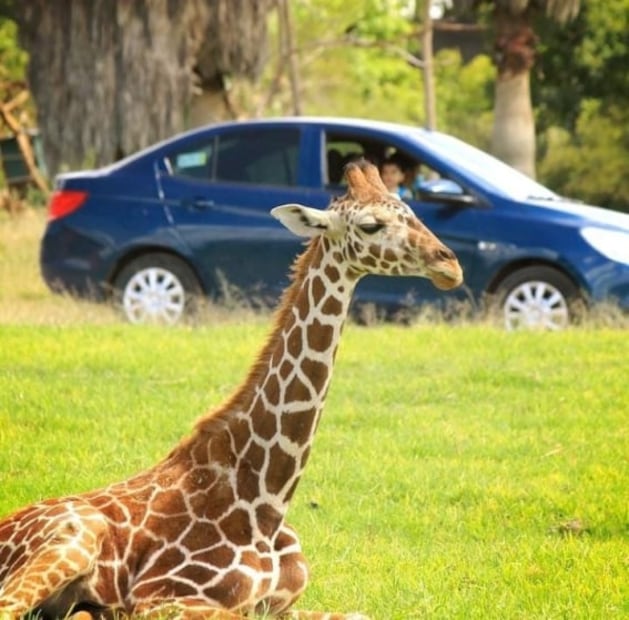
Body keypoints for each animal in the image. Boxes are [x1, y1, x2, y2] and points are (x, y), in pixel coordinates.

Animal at [0, 161, 462, 620]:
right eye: (370, 225)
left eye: (410, 211)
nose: (450, 265)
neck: (268, 496)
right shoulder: (157, 599)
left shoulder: (280, 604)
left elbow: (357, 614)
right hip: (74, 538)